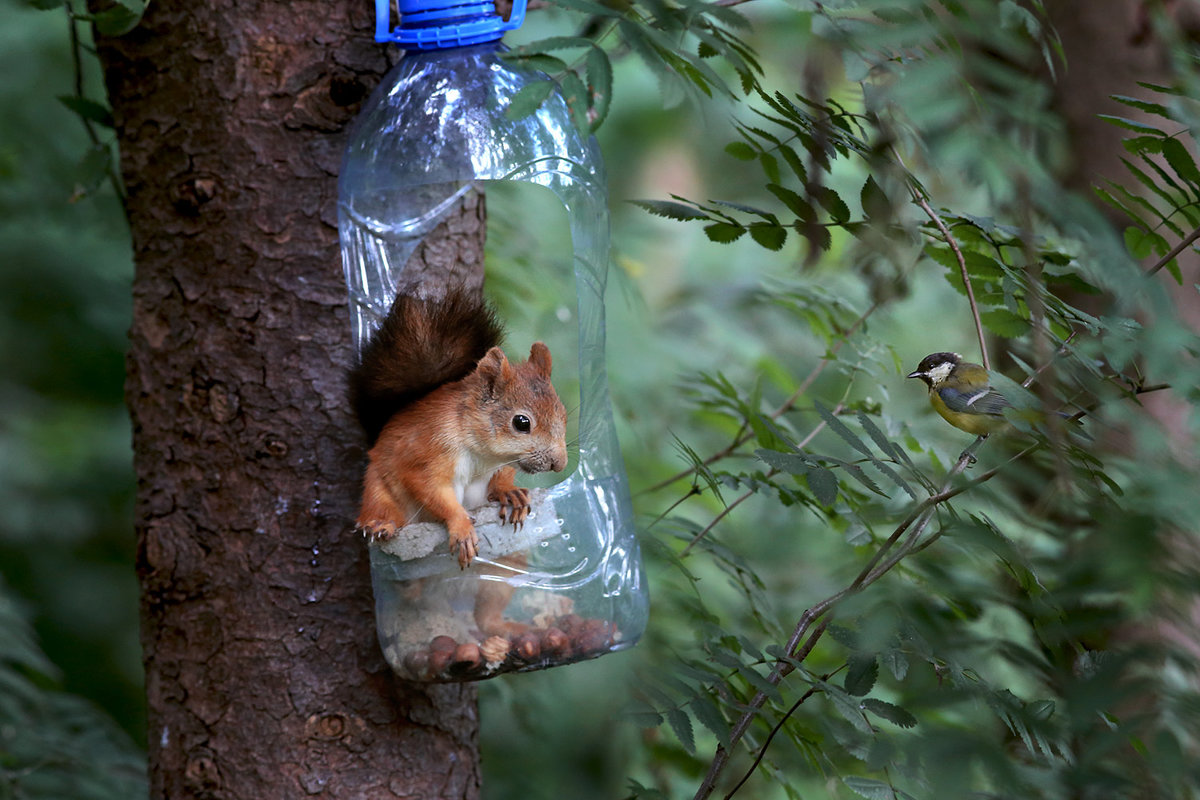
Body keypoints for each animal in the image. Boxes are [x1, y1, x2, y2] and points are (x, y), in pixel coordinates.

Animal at [350, 287, 568, 568]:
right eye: (522, 423)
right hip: (378, 489)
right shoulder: (427, 453)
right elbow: (432, 491)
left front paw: (509, 492)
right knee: (382, 506)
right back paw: (380, 524)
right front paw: (462, 528)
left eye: (563, 414)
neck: (484, 455)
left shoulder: (504, 461)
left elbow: (503, 476)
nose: (559, 464)